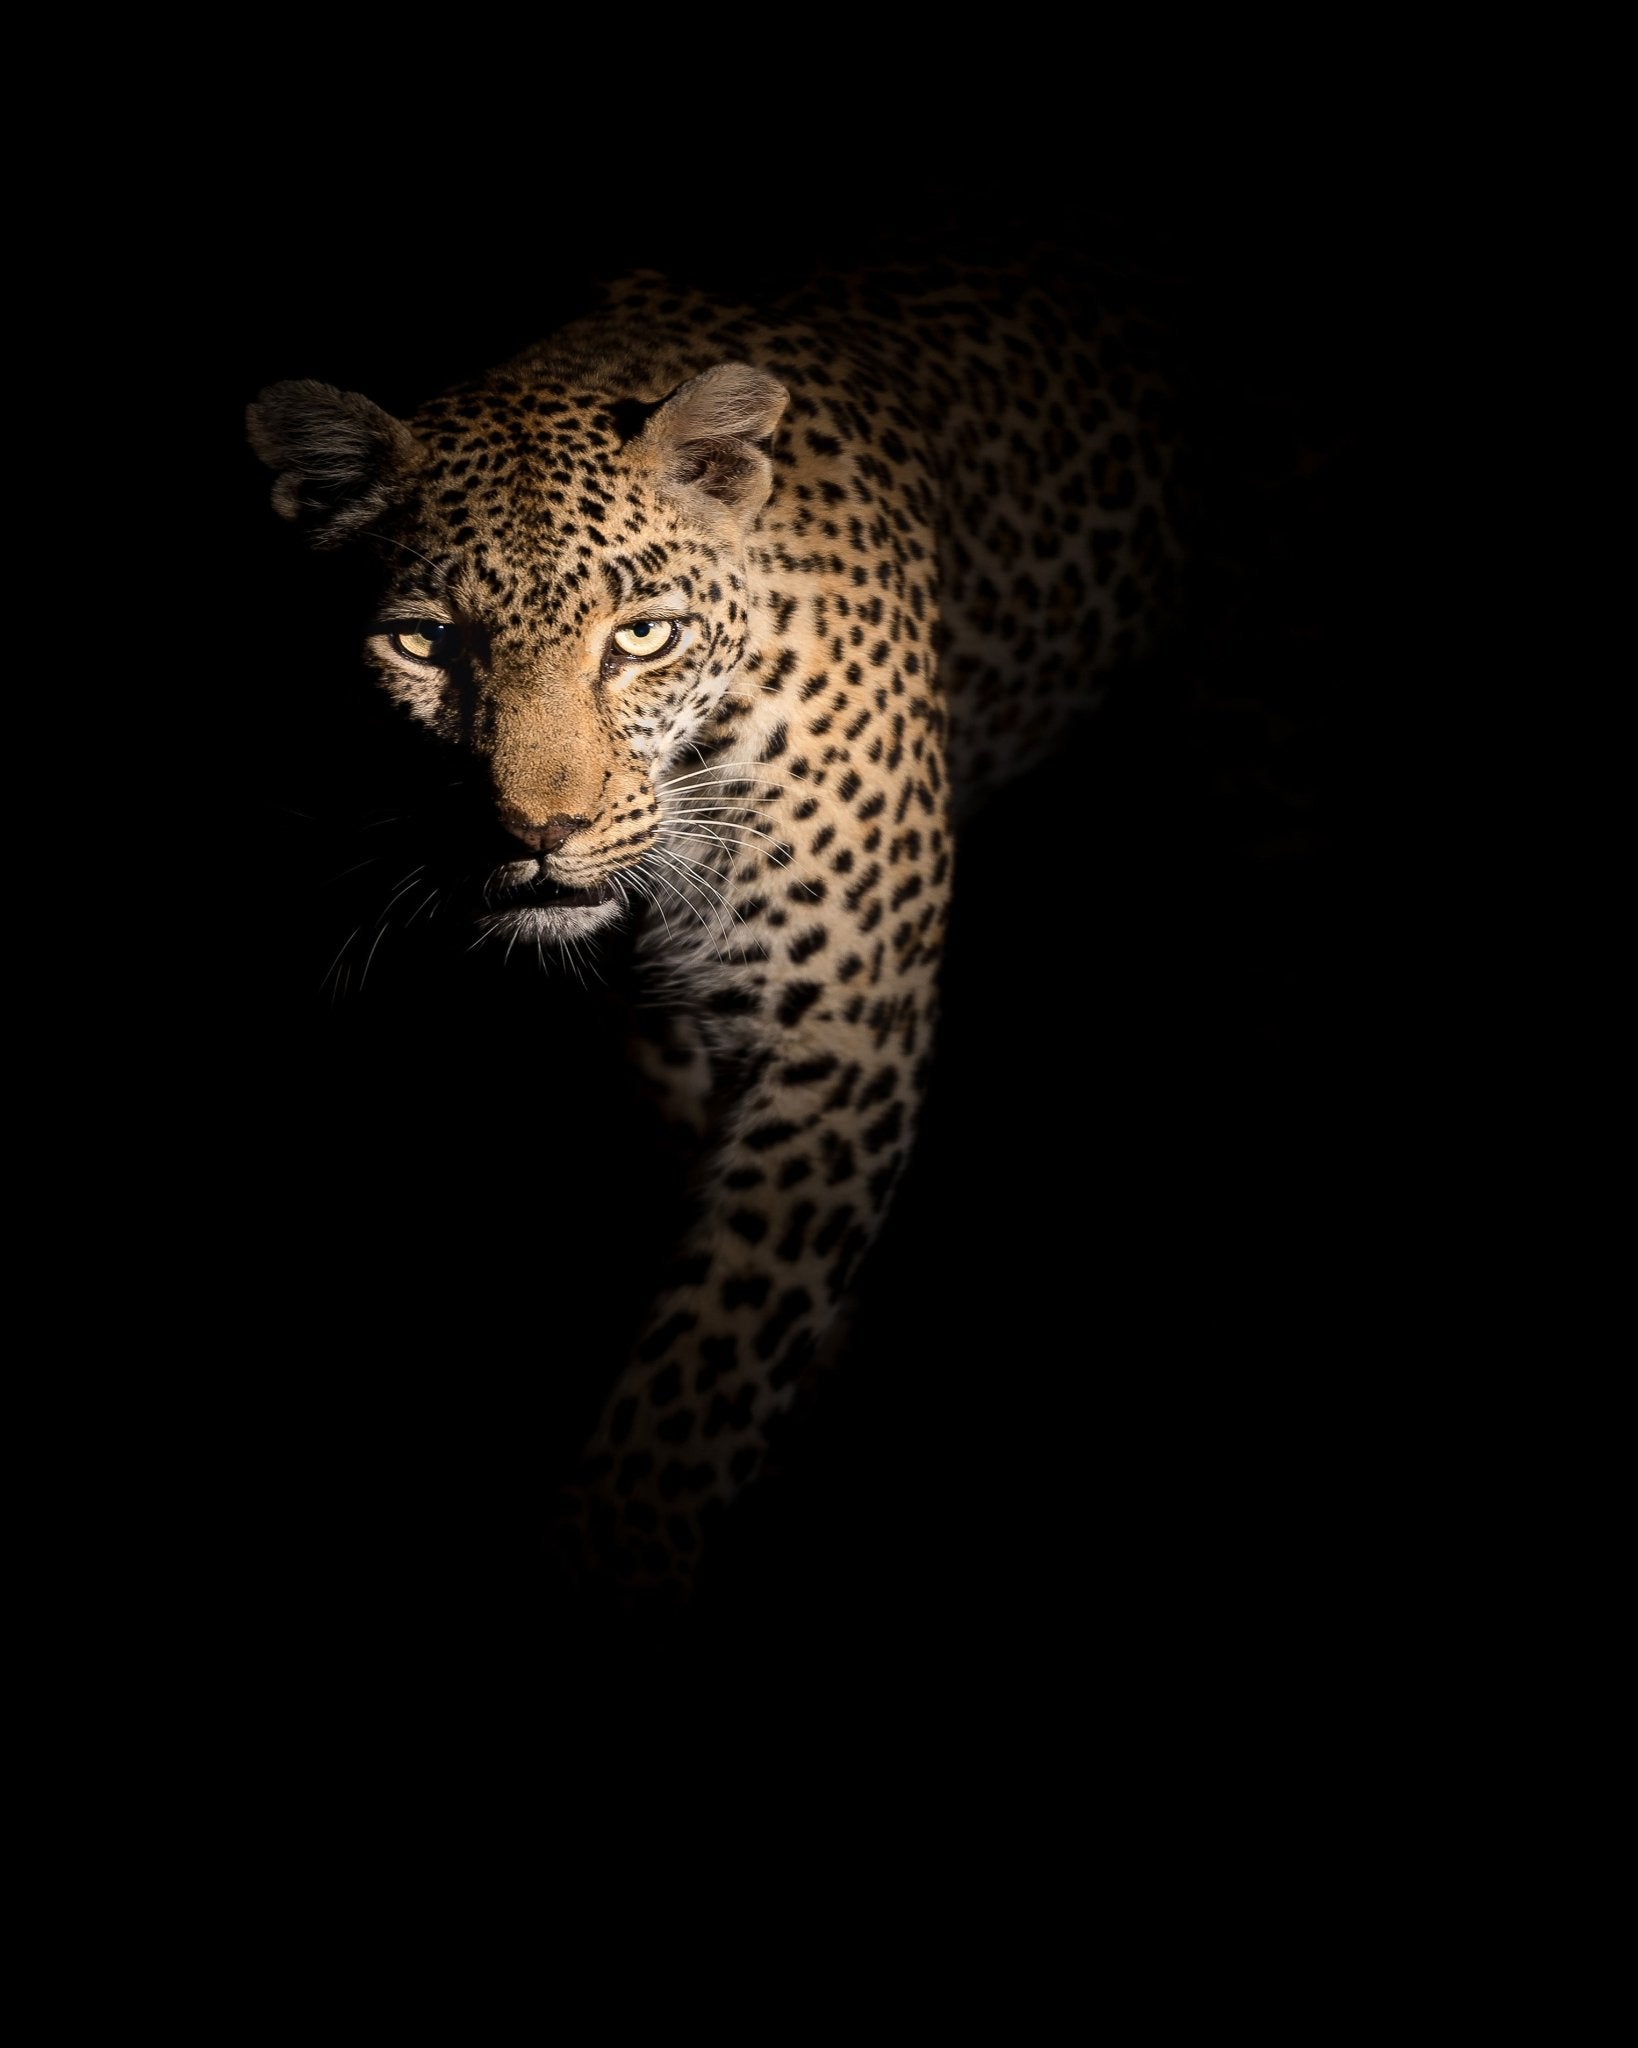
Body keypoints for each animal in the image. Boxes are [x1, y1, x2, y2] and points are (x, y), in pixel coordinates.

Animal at [247, 257, 1188, 1613]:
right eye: (422, 643)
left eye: (642, 634)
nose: (540, 831)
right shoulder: (667, 1034)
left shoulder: (841, 1032)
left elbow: (705, 1368)